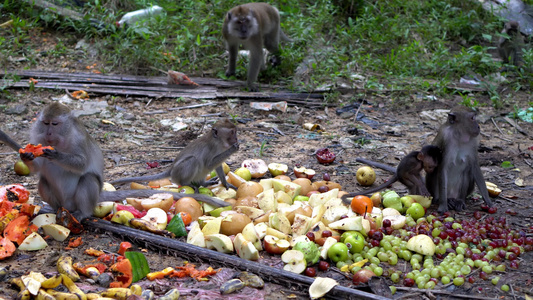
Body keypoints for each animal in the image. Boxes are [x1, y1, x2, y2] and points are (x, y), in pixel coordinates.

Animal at [2, 103, 228, 220]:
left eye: (55, 124)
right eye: (45, 123)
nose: (49, 134)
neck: (61, 139)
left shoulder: (78, 140)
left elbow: (81, 165)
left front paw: (55, 154)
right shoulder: (37, 137)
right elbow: (38, 167)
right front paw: (26, 155)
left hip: (83, 200)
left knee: (88, 180)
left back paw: (82, 213)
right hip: (61, 201)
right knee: (43, 182)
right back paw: (55, 208)